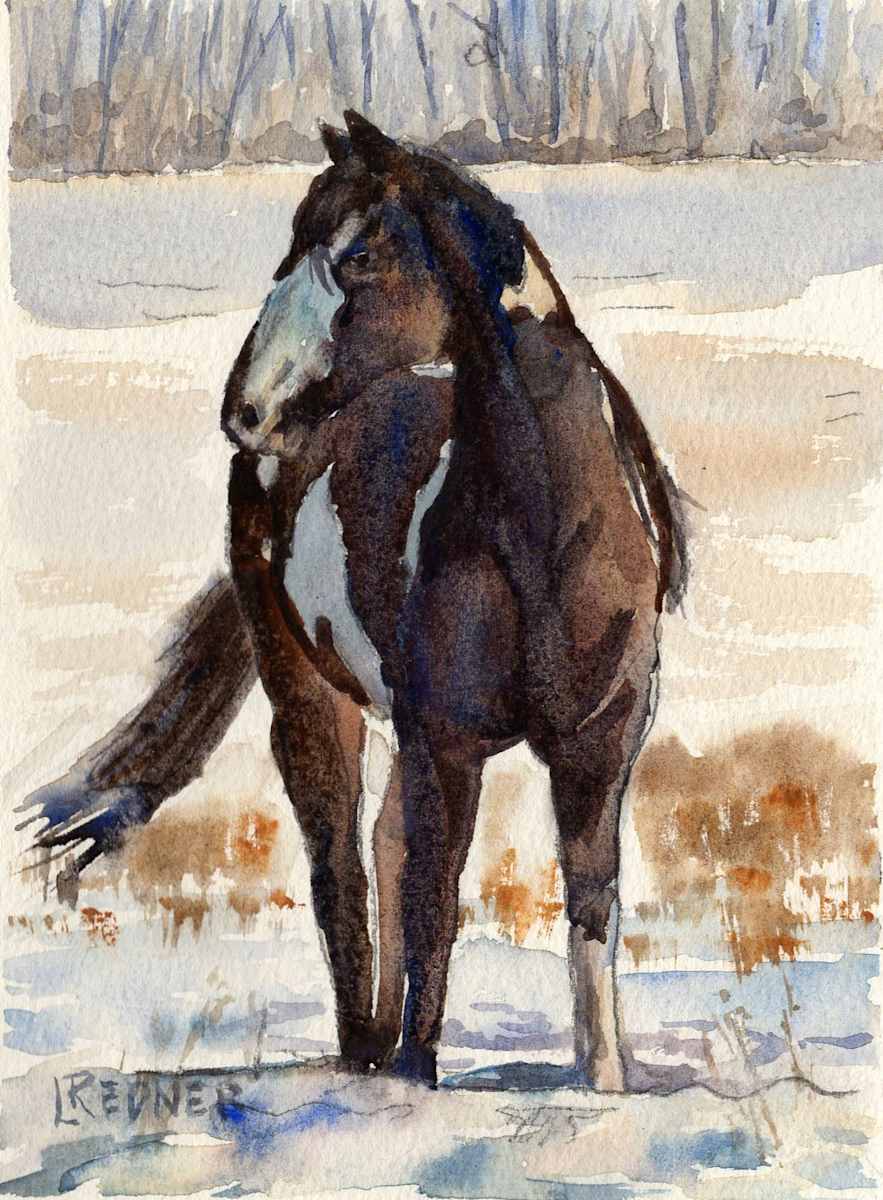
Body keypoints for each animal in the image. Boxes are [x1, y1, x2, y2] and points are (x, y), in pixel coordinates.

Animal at [22, 111, 685, 1090]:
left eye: (361, 253)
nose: (246, 411)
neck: (544, 529)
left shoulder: (599, 743)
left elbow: (590, 909)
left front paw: (604, 1085)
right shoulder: (446, 745)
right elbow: (431, 912)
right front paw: (414, 1079)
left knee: (380, 842)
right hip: (312, 699)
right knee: (342, 866)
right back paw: (363, 1054)